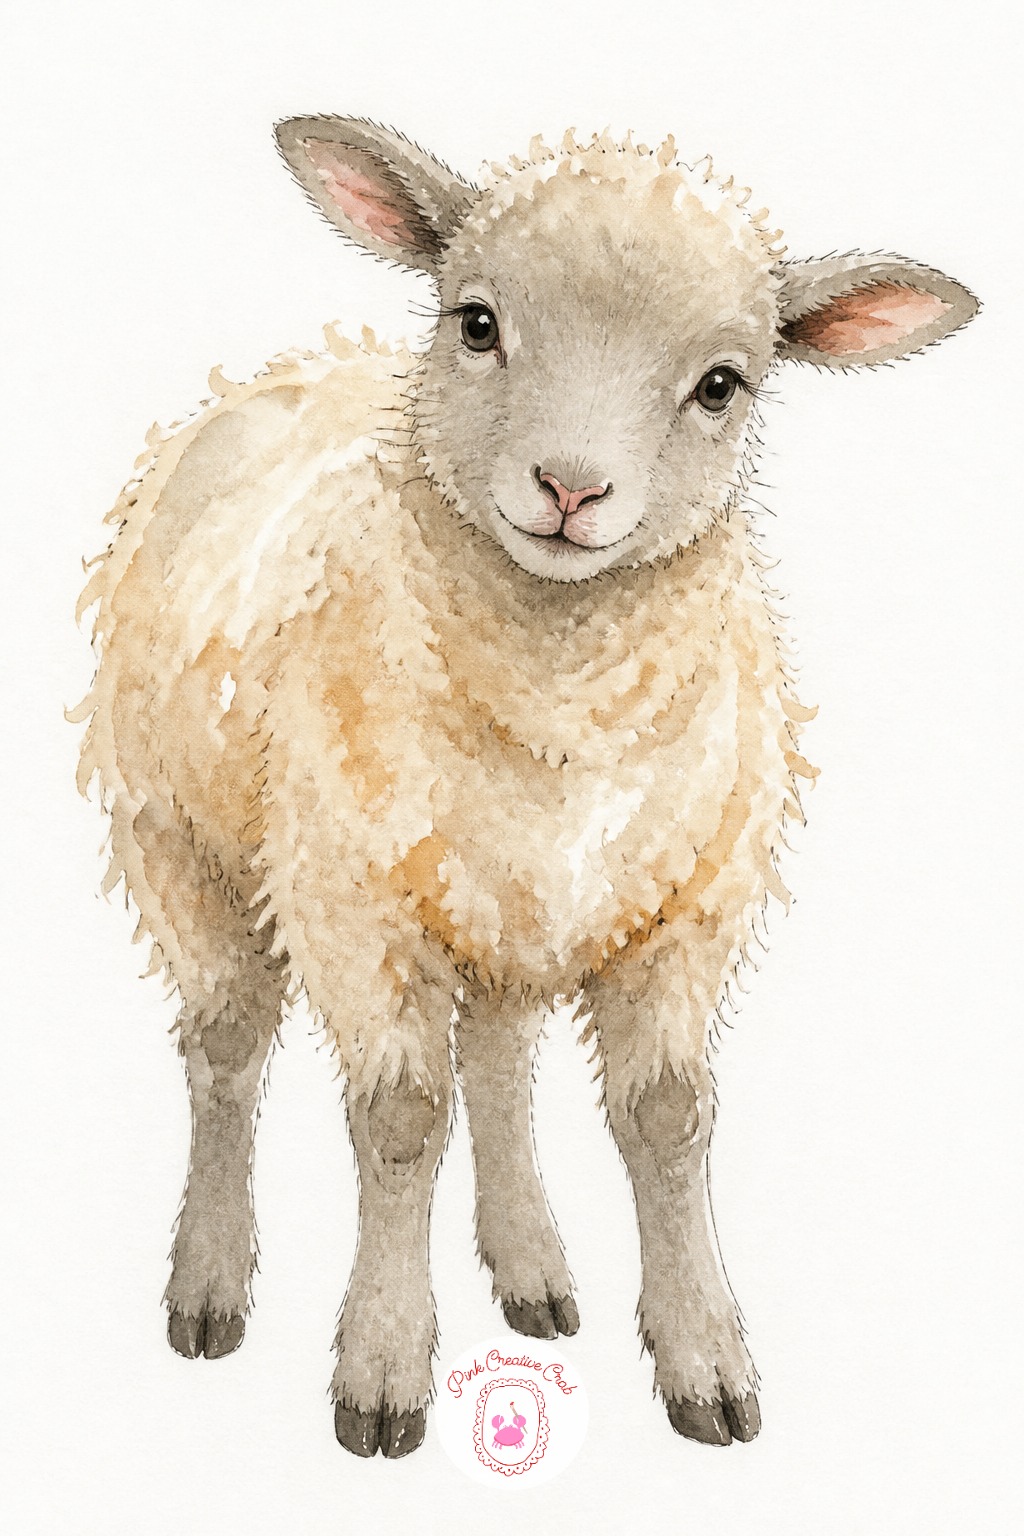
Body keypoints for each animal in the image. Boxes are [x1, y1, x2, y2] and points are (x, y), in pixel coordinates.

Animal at [75, 117, 978, 1458]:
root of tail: (292, 370)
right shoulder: (351, 903)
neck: (560, 707)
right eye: (477, 322)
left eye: (724, 384)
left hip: (502, 907)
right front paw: (383, 1366)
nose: (569, 489)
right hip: (176, 837)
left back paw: (529, 1266)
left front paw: (706, 1361)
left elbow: (667, 1118)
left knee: (496, 1063)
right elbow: (400, 1122)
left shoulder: (688, 909)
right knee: (227, 1047)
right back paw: (209, 1280)